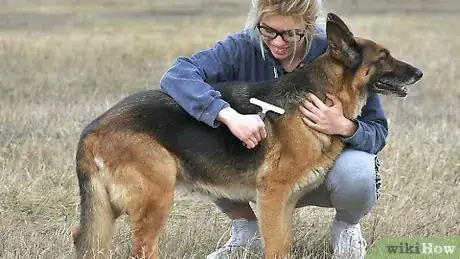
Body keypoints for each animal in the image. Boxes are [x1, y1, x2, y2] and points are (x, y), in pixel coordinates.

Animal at [73, 13, 424, 258]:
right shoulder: (273, 197)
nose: (419, 73)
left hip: (111, 210)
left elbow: (283, 245)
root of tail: (94, 128)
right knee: (143, 249)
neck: (321, 95)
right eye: (383, 56)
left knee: (83, 236)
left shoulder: (282, 204)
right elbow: (276, 249)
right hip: (156, 198)